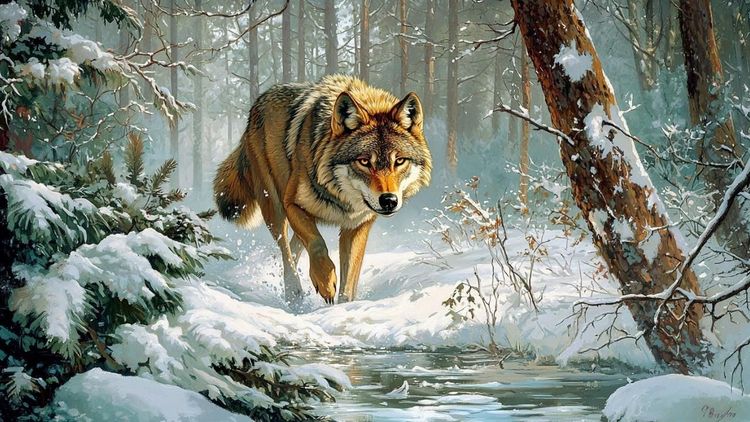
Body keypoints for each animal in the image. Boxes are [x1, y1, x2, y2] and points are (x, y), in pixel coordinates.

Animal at [214, 75, 432, 305]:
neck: (342, 197)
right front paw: (326, 283)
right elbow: (318, 244)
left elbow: (349, 279)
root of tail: (258, 102)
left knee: (295, 245)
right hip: (275, 208)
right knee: (285, 248)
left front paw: (343, 305)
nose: (388, 200)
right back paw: (294, 292)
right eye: (364, 162)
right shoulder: (292, 204)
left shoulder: (358, 224)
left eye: (399, 161)